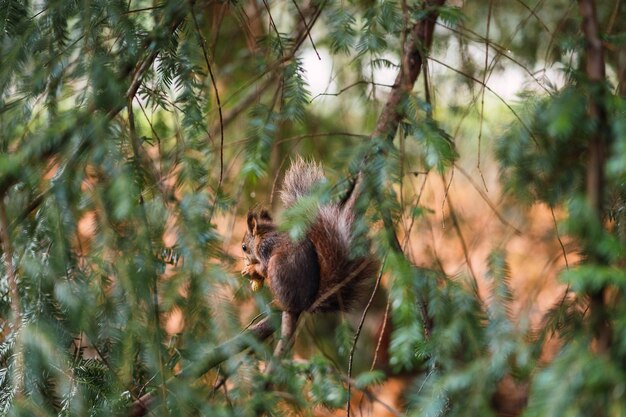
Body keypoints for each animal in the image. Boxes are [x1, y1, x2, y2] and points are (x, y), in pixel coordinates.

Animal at [239, 158, 378, 314]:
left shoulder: (265, 248)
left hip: (276, 267)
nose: (245, 262)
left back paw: (280, 304)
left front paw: (251, 269)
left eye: (244, 247)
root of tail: (307, 303)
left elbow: (263, 267)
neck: (264, 234)